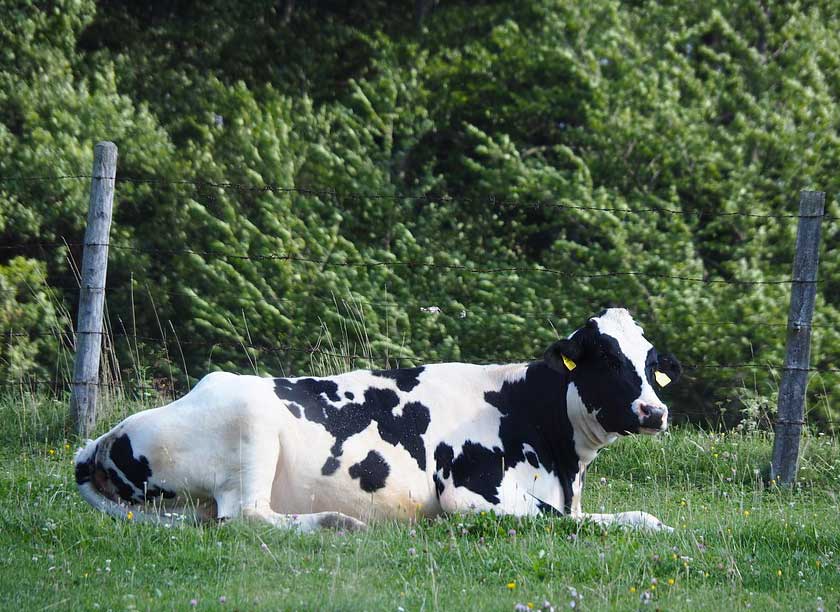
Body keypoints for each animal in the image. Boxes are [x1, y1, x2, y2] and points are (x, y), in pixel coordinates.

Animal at [75, 308, 684, 532]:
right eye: (607, 358)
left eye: (651, 364)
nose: (655, 411)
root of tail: (103, 438)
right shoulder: (470, 494)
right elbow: (572, 521)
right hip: (250, 431)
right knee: (244, 517)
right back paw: (336, 523)